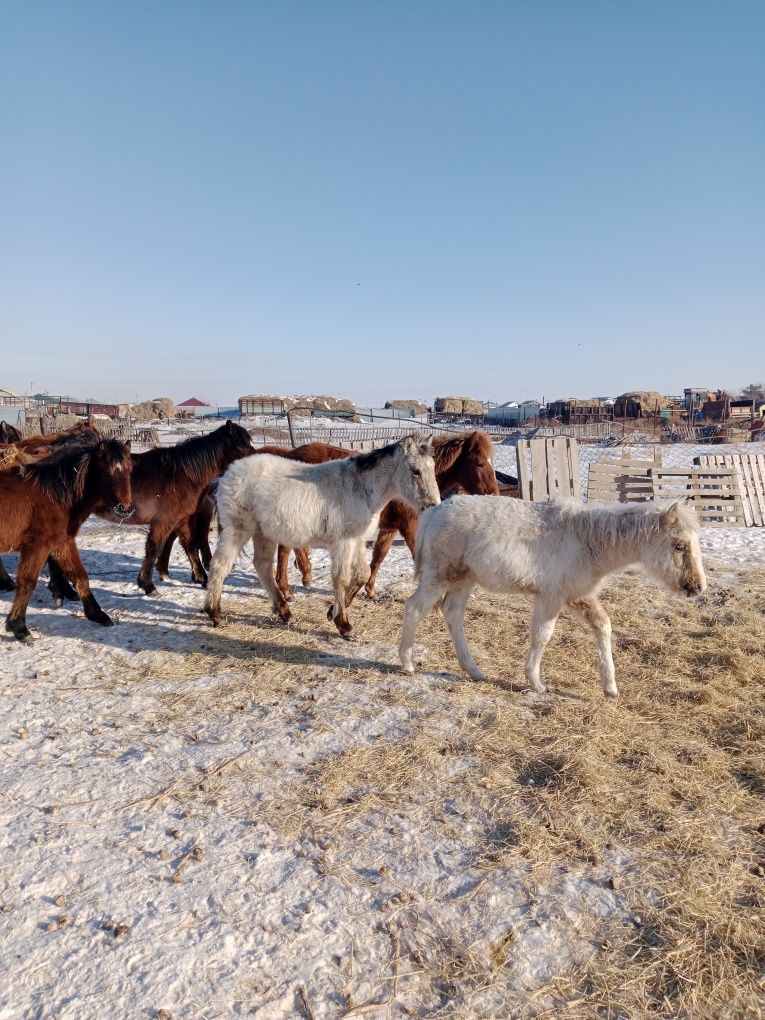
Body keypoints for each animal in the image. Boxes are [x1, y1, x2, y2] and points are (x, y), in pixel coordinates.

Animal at [0, 436, 133, 640]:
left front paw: (97, 614)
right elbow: (27, 584)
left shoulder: (62, 544)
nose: (124, 509)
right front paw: (19, 627)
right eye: (105, 473)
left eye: (129, 470)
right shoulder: (37, 547)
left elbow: (80, 576)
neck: (54, 496)